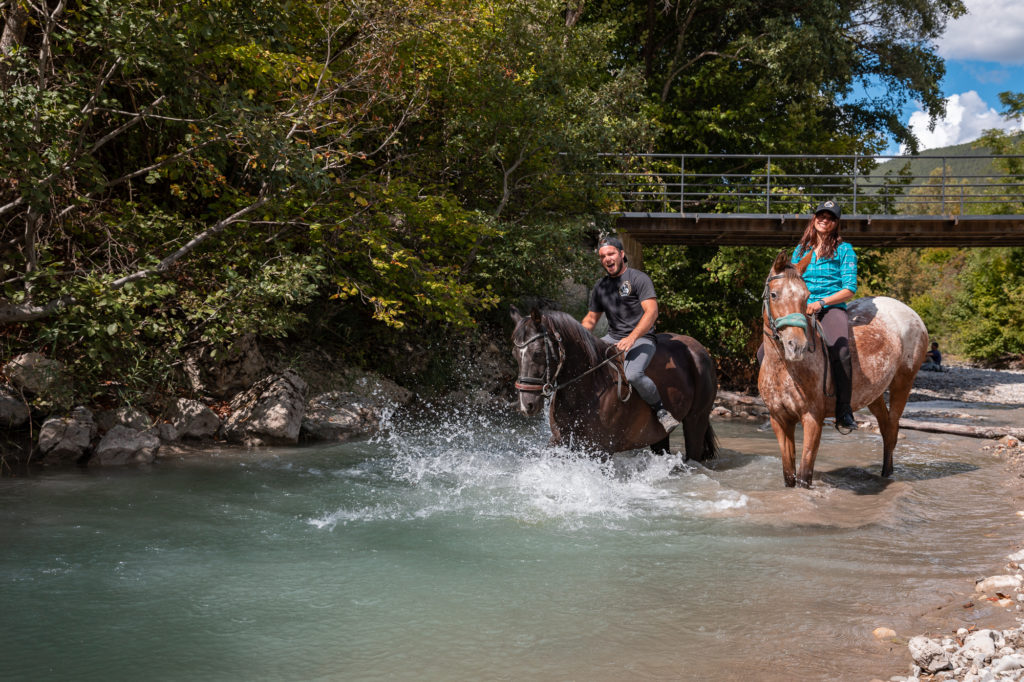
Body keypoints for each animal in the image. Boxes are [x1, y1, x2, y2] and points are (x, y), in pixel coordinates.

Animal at [512, 305, 720, 458]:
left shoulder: (600, 450)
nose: (526, 405)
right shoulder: (559, 442)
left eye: (537, 352)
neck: (588, 387)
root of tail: (699, 349)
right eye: (514, 353)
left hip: (696, 419)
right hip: (660, 435)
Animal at [757, 251, 933, 485]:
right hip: (874, 394)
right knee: (886, 428)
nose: (797, 346)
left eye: (806, 297)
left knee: (893, 427)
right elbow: (789, 476)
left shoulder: (812, 419)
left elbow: (804, 476)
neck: (784, 369)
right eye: (774, 295)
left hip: (902, 383)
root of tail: (911, 313)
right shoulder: (779, 420)